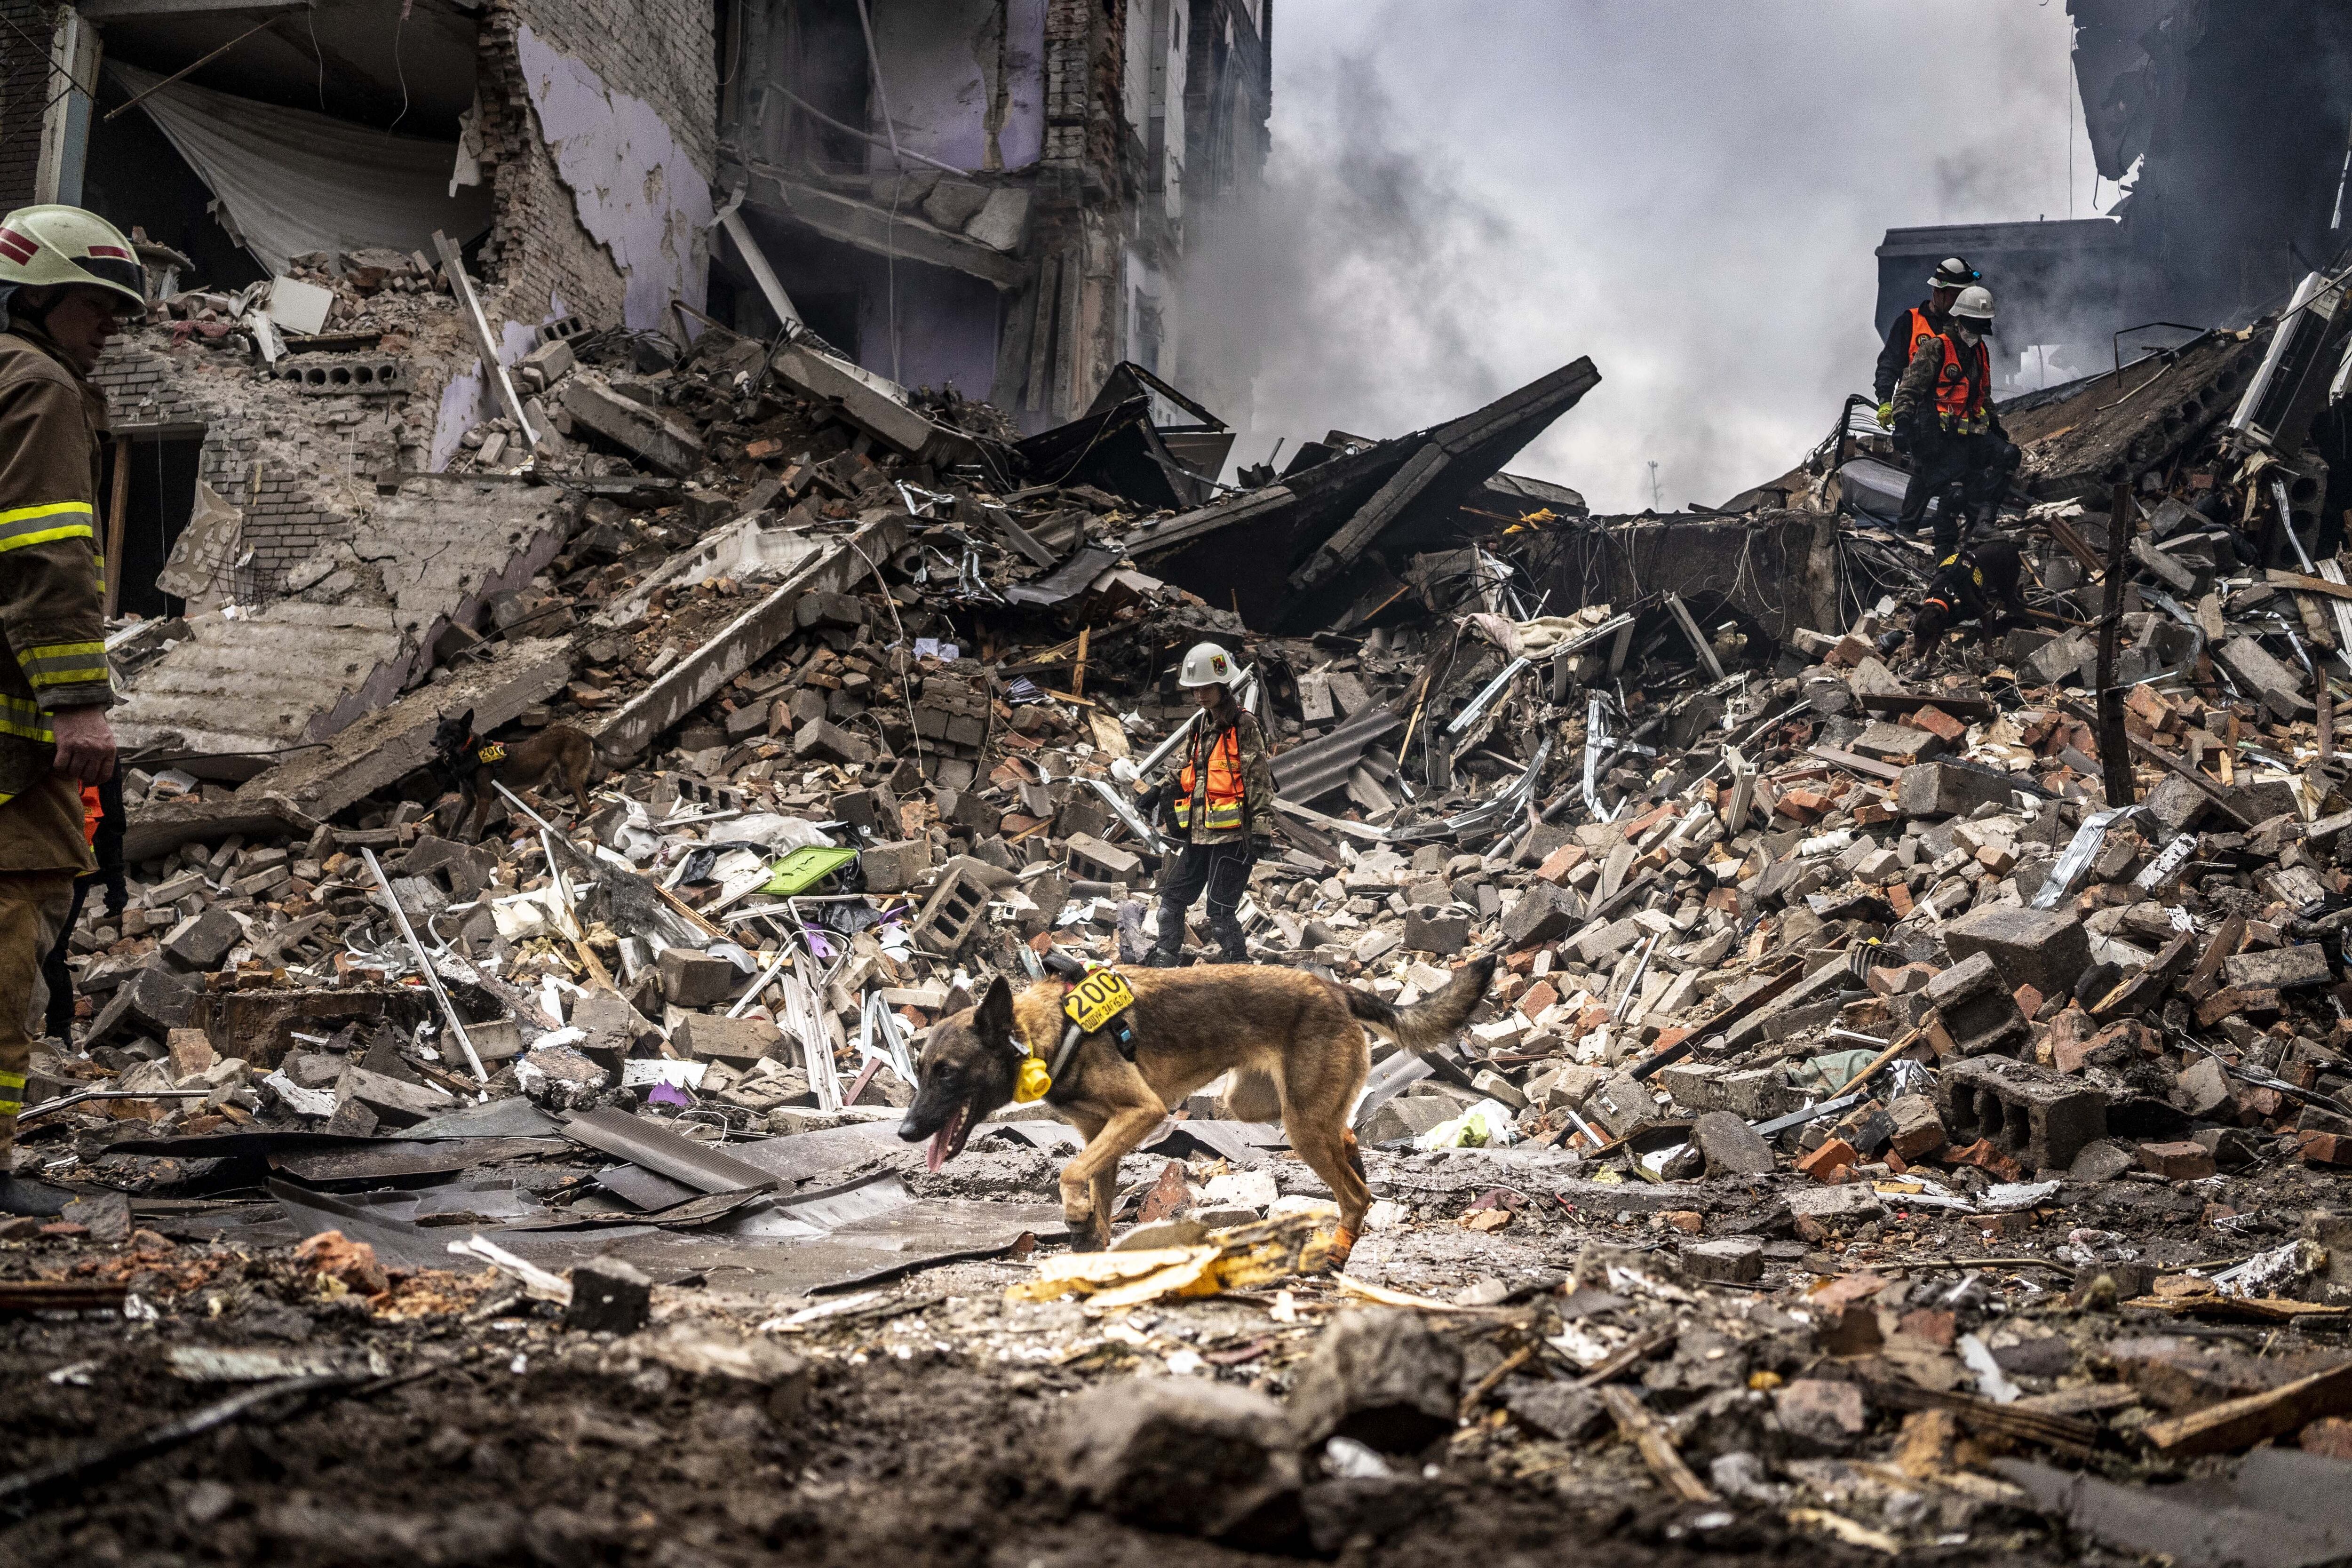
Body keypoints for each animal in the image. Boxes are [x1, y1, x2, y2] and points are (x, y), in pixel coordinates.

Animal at [430, 705, 597, 841]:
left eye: (449, 731)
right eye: (437, 730)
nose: (432, 742)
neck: (468, 752)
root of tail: (584, 735)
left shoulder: (484, 798)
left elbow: (476, 826)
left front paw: (471, 843)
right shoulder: (468, 800)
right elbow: (456, 823)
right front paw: (450, 840)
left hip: (569, 777)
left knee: (585, 804)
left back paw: (580, 817)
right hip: (560, 779)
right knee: (583, 794)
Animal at [898, 959, 1486, 1260]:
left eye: (946, 1072)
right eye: (921, 1068)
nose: (904, 1131)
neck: (1043, 1034)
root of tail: (1334, 988)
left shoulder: (1141, 1113)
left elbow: (1069, 1173)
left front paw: (1074, 1213)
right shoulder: (1101, 1134)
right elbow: (1096, 1193)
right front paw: (1091, 1243)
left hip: (1297, 1125)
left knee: (1355, 1193)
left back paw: (1334, 1255)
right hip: (1256, 1104)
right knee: (1343, 1137)